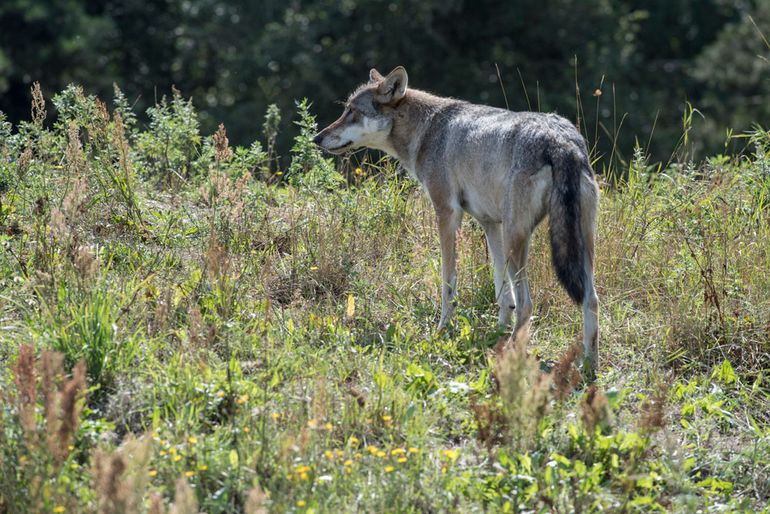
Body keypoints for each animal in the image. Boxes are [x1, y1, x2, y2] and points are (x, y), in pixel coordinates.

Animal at [312, 66, 600, 374]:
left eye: (352, 111)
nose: (317, 138)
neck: (427, 131)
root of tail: (561, 142)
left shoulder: (447, 213)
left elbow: (448, 282)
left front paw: (442, 329)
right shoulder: (490, 224)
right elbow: (501, 290)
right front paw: (497, 332)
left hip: (518, 238)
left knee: (527, 304)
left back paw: (513, 355)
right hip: (572, 244)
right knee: (590, 299)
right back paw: (589, 366)